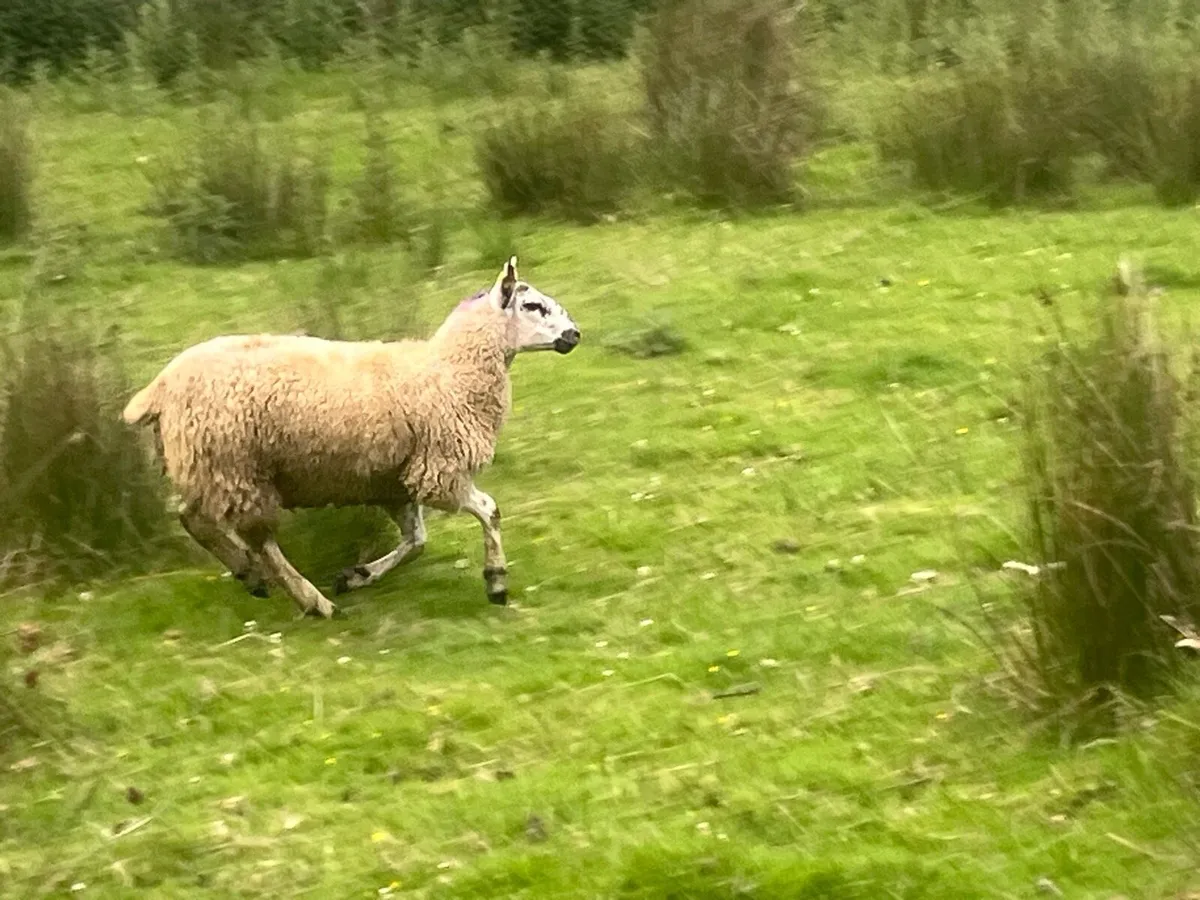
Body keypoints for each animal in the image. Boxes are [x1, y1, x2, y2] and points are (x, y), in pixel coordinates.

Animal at [122, 257, 580, 618]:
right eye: (533, 305)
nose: (575, 335)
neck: (450, 368)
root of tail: (159, 388)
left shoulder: (396, 481)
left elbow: (416, 541)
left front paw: (357, 575)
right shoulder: (439, 470)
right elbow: (490, 511)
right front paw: (497, 581)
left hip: (207, 466)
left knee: (191, 517)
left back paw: (249, 574)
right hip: (235, 467)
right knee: (259, 540)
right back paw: (311, 601)